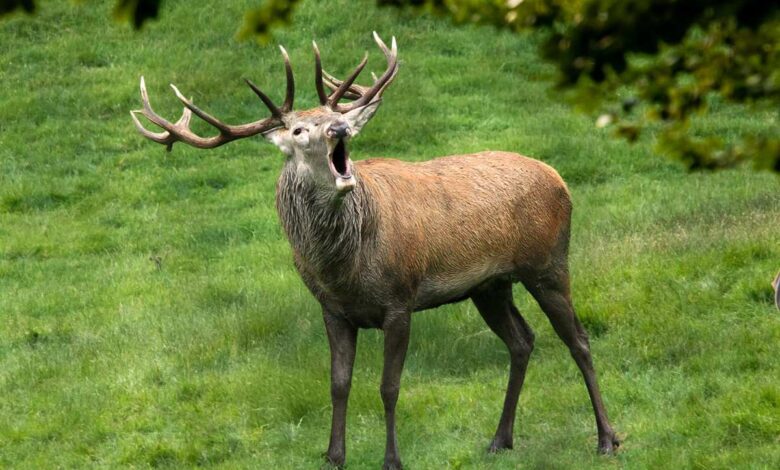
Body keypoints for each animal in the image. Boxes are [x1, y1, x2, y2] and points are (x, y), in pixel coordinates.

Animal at [131, 32, 619, 469]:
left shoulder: (399, 301)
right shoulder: (332, 310)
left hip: (548, 263)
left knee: (578, 339)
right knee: (522, 341)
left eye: (333, 114)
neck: (345, 268)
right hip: (489, 286)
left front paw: (391, 459)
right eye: (298, 129)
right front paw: (333, 455)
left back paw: (606, 439)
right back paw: (500, 439)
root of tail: (559, 179)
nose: (341, 127)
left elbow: (389, 387)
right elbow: (338, 383)